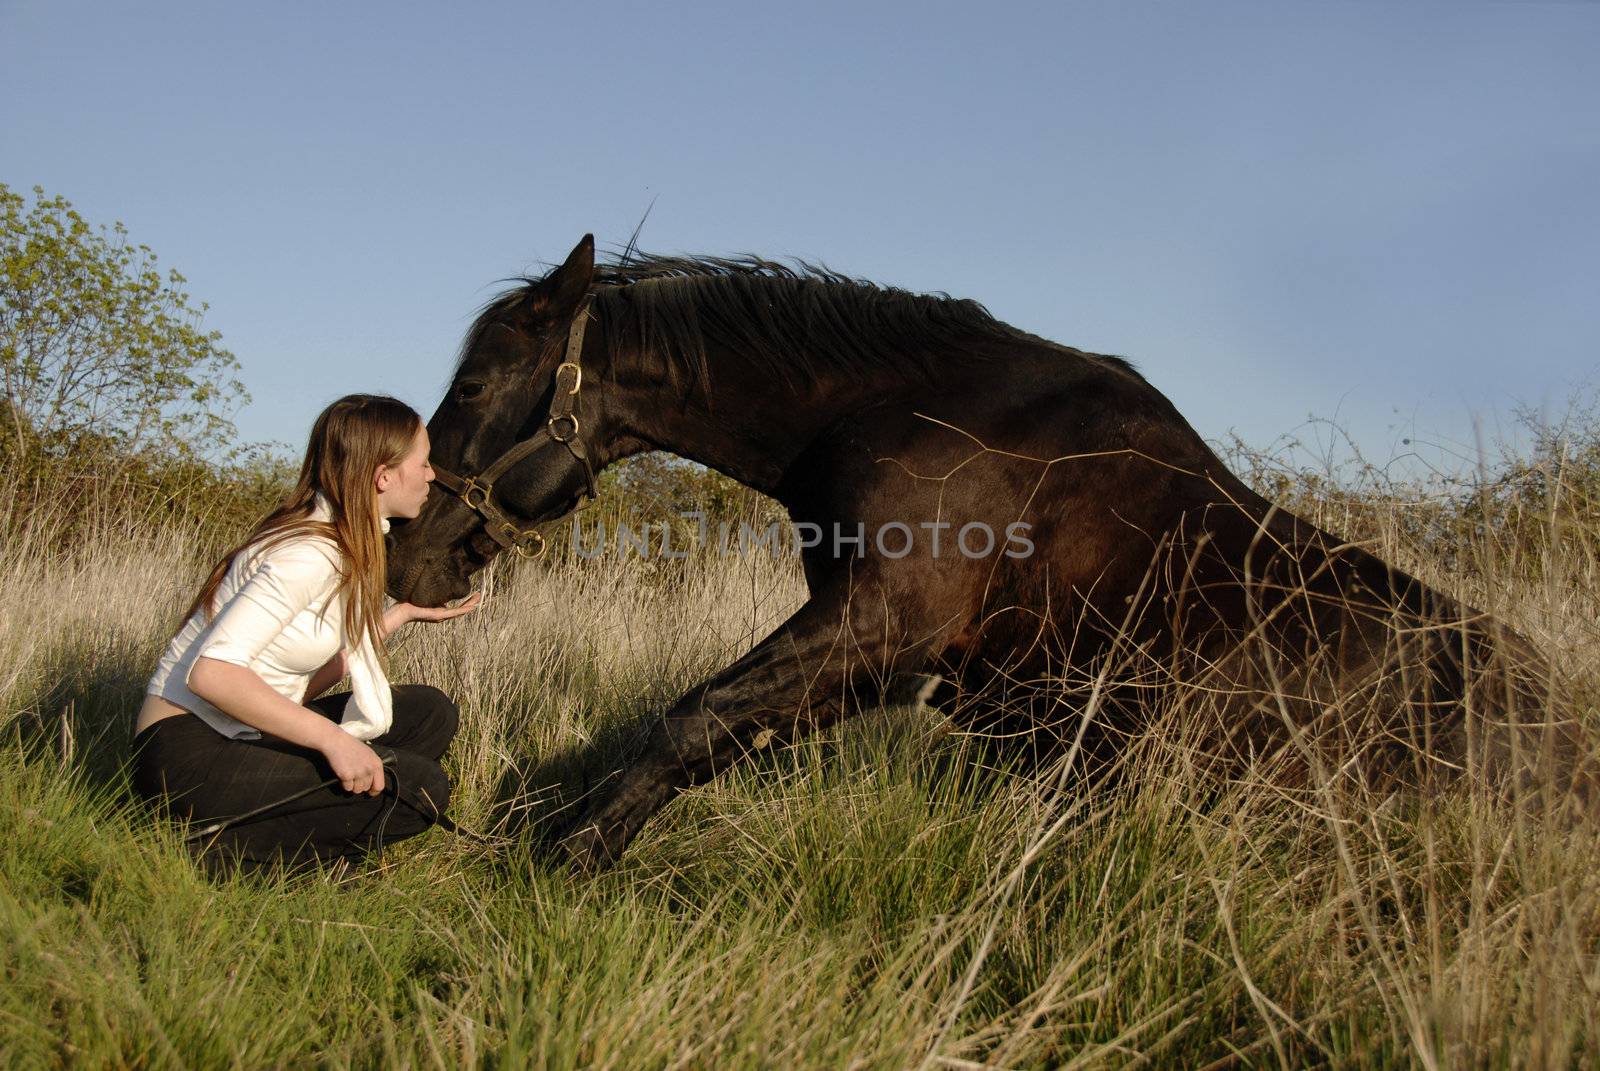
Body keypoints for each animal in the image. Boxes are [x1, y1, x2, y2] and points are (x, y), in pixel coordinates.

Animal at [384, 233, 1574, 870]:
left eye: (476, 386)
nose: (404, 561)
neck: (916, 409)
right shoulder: (884, 665)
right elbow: (716, 731)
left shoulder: (880, 628)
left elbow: (692, 722)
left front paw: (565, 858)